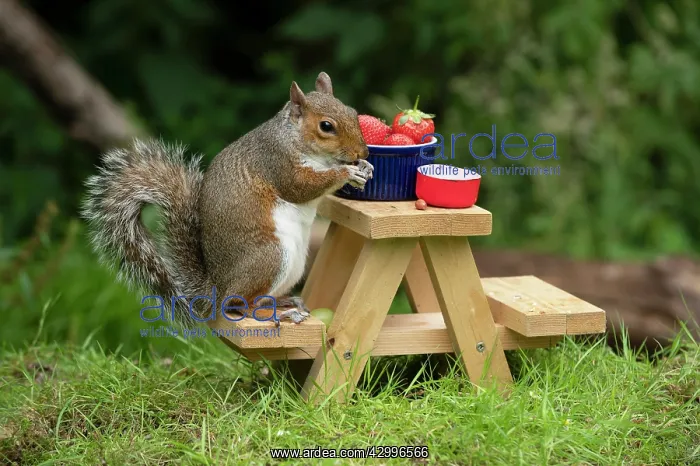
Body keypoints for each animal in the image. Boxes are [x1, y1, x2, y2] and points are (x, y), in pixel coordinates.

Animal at [82, 72, 373, 326]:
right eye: (326, 126)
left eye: (352, 112)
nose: (363, 151)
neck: (295, 138)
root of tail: (217, 288)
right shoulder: (277, 163)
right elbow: (300, 187)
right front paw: (346, 172)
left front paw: (365, 167)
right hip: (270, 256)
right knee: (238, 304)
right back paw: (271, 312)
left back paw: (283, 302)